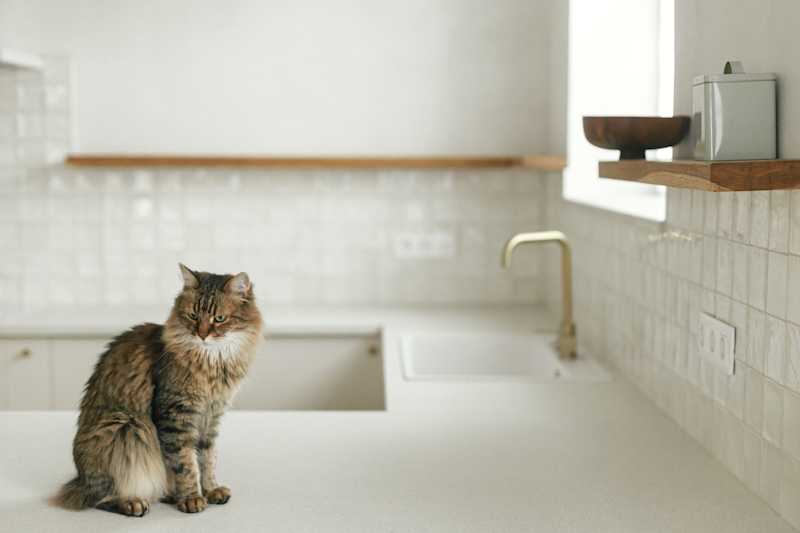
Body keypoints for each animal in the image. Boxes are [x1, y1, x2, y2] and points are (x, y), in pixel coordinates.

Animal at [54, 264, 266, 516]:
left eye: (219, 318)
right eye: (193, 316)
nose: (202, 334)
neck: (214, 362)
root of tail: (79, 479)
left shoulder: (212, 416)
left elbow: (207, 459)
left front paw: (211, 490)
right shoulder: (175, 415)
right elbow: (186, 464)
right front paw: (191, 498)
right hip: (124, 427)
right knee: (101, 497)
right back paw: (133, 502)